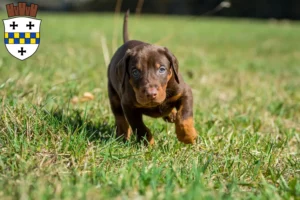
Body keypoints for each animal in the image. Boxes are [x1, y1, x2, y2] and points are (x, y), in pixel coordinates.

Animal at [107, 10, 197, 145]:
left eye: (162, 69)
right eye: (135, 72)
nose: (151, 94)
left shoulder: (184, 92)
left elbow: (184, 116)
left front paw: (187, 136)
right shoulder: (128, 105)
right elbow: (139, 127)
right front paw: (148, 143)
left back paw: (171, 114)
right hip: (113, 94)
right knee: (119, 117)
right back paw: (122, 135)